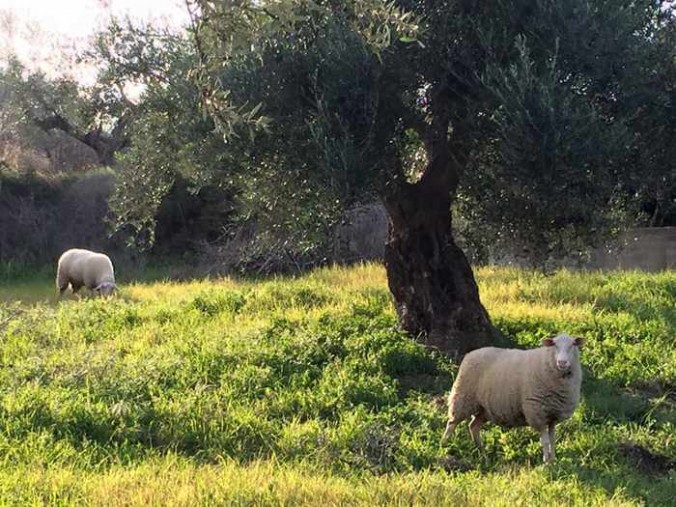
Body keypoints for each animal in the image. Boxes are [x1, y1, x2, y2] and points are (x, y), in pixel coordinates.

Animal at [440, 334, 584, 464]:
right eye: (554, 345)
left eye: (573, 345)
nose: (562, 362)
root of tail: (470, 354)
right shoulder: (538, 413)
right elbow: (545, 441)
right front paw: (546, 463)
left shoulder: (552, 416)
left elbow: (553, 440)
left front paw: (553, 460)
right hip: (463, 398)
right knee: (452, 423)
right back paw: (444, 445)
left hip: (484, 409)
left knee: (473, 426)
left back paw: (481, 451)